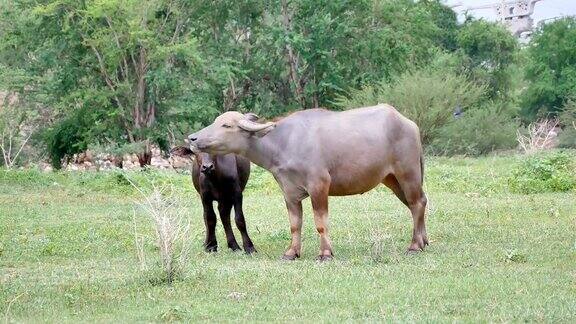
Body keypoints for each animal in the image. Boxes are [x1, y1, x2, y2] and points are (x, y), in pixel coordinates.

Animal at [187, 105, 426, 262]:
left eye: (226, 125)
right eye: (215, 121)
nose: (192, 138)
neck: (283, 143)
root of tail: (409, 124)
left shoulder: (319, 185)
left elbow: (320, 222)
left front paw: (325, 253)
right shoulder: (289, 192)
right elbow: (295, 224)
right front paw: (291, 252)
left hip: (408, 173)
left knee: (416, 204)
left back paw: (414, 246)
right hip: (392, 179)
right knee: (419, 202)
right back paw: (423, 241)